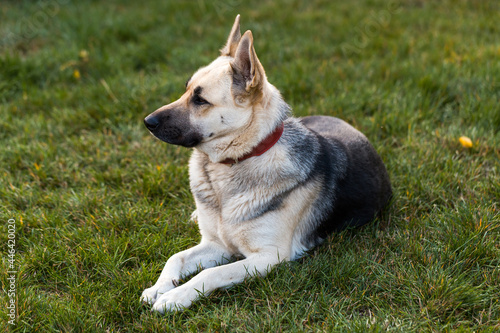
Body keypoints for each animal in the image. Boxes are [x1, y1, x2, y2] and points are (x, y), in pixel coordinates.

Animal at [140, 14, 390, 312]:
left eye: (200, 100)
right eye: (186, 90)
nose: (147, 122)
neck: (237, 161)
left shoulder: (268, 256)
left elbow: (211, 273)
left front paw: (175, 297)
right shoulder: (217, 244)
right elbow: (175, 257)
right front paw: (159, 287)